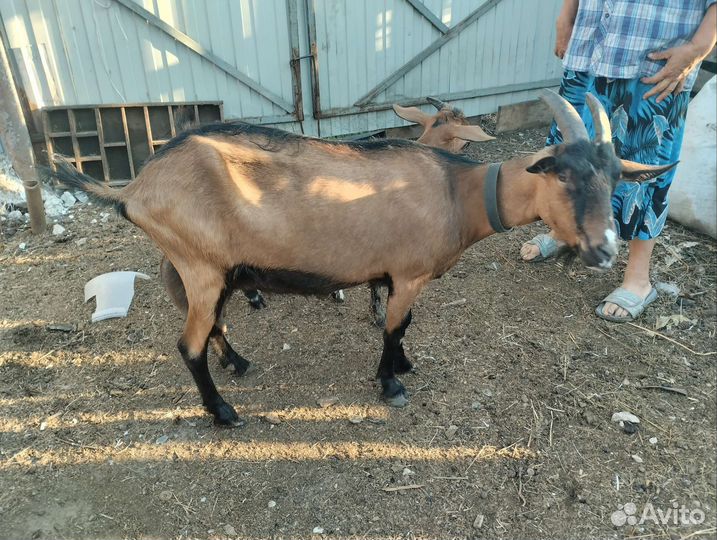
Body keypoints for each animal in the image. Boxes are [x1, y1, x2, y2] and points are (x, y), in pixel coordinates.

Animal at [49, 91, 675, 426]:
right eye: (562, 173)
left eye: (616, 176)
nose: (605, 248)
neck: (458, 193)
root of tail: (135, 188)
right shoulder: (408, 273)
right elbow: (396, 326)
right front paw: (391, 382)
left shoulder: (401, 275)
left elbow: (405, 325)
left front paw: (404, 366)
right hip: (202, 266)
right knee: (188, 344)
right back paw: (223, 411)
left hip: (205, 266)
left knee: (206, 323)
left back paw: (239, 363)